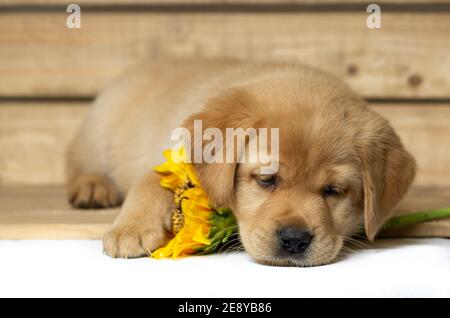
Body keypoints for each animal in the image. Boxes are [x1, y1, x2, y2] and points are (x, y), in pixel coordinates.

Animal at [66, 59, 414, 266]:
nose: (294, 240)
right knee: (76, 162)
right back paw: (92, 187)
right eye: (266, 180)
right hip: (97, 131)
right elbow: (151, 178)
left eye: (334, 190)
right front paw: (131, 228)